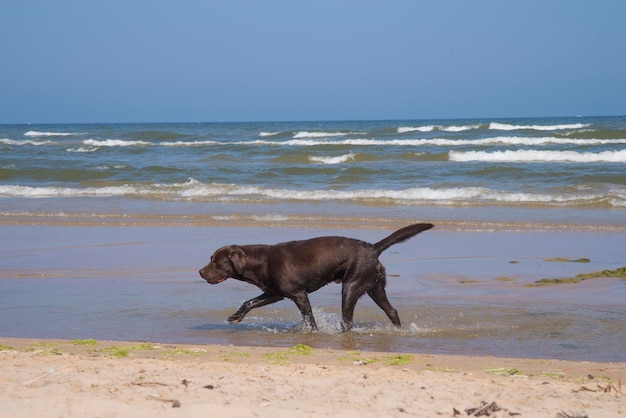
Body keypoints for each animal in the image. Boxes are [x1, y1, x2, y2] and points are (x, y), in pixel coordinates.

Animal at [197, 224, 432, 332]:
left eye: (216, 262)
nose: (200, 272)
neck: (259, 261)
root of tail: (373, 248)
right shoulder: (275, 293)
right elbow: (249, 302)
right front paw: (235, 317)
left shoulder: (298, 294)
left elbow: (309, 318)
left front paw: (314, 332)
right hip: (375, 287)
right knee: (392, 311)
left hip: (351, 286)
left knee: (347, 320)